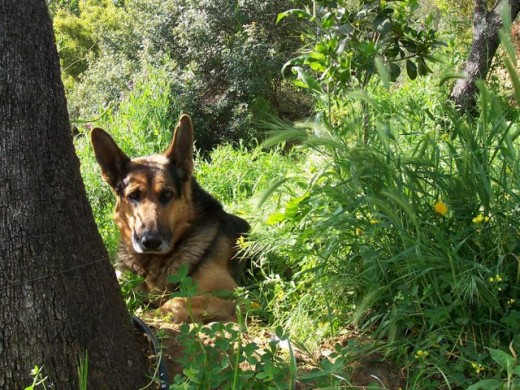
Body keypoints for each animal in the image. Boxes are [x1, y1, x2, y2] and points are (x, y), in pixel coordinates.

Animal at [90, 114, 250, 322]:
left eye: (167, 194)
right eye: (134, 196)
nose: (150, 242)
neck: (153, 263)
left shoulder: (238, 297)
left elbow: (176, 302)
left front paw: (147, 316)